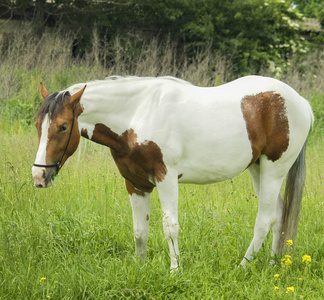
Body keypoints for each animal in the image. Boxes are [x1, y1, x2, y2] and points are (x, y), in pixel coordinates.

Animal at [31, 74, 312, 270]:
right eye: (37, 124)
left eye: (63, 126)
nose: (38, 177)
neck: (139, 113)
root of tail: (303, 103)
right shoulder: (136, 183)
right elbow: (139, 230)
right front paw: (140, 268)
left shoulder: (166, 179)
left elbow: (170, 226)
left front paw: (175, 270)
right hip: (257, 168)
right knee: (279, 215)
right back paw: (273, 266)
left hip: (274, 169)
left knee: (264, 220)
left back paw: (242, 268)